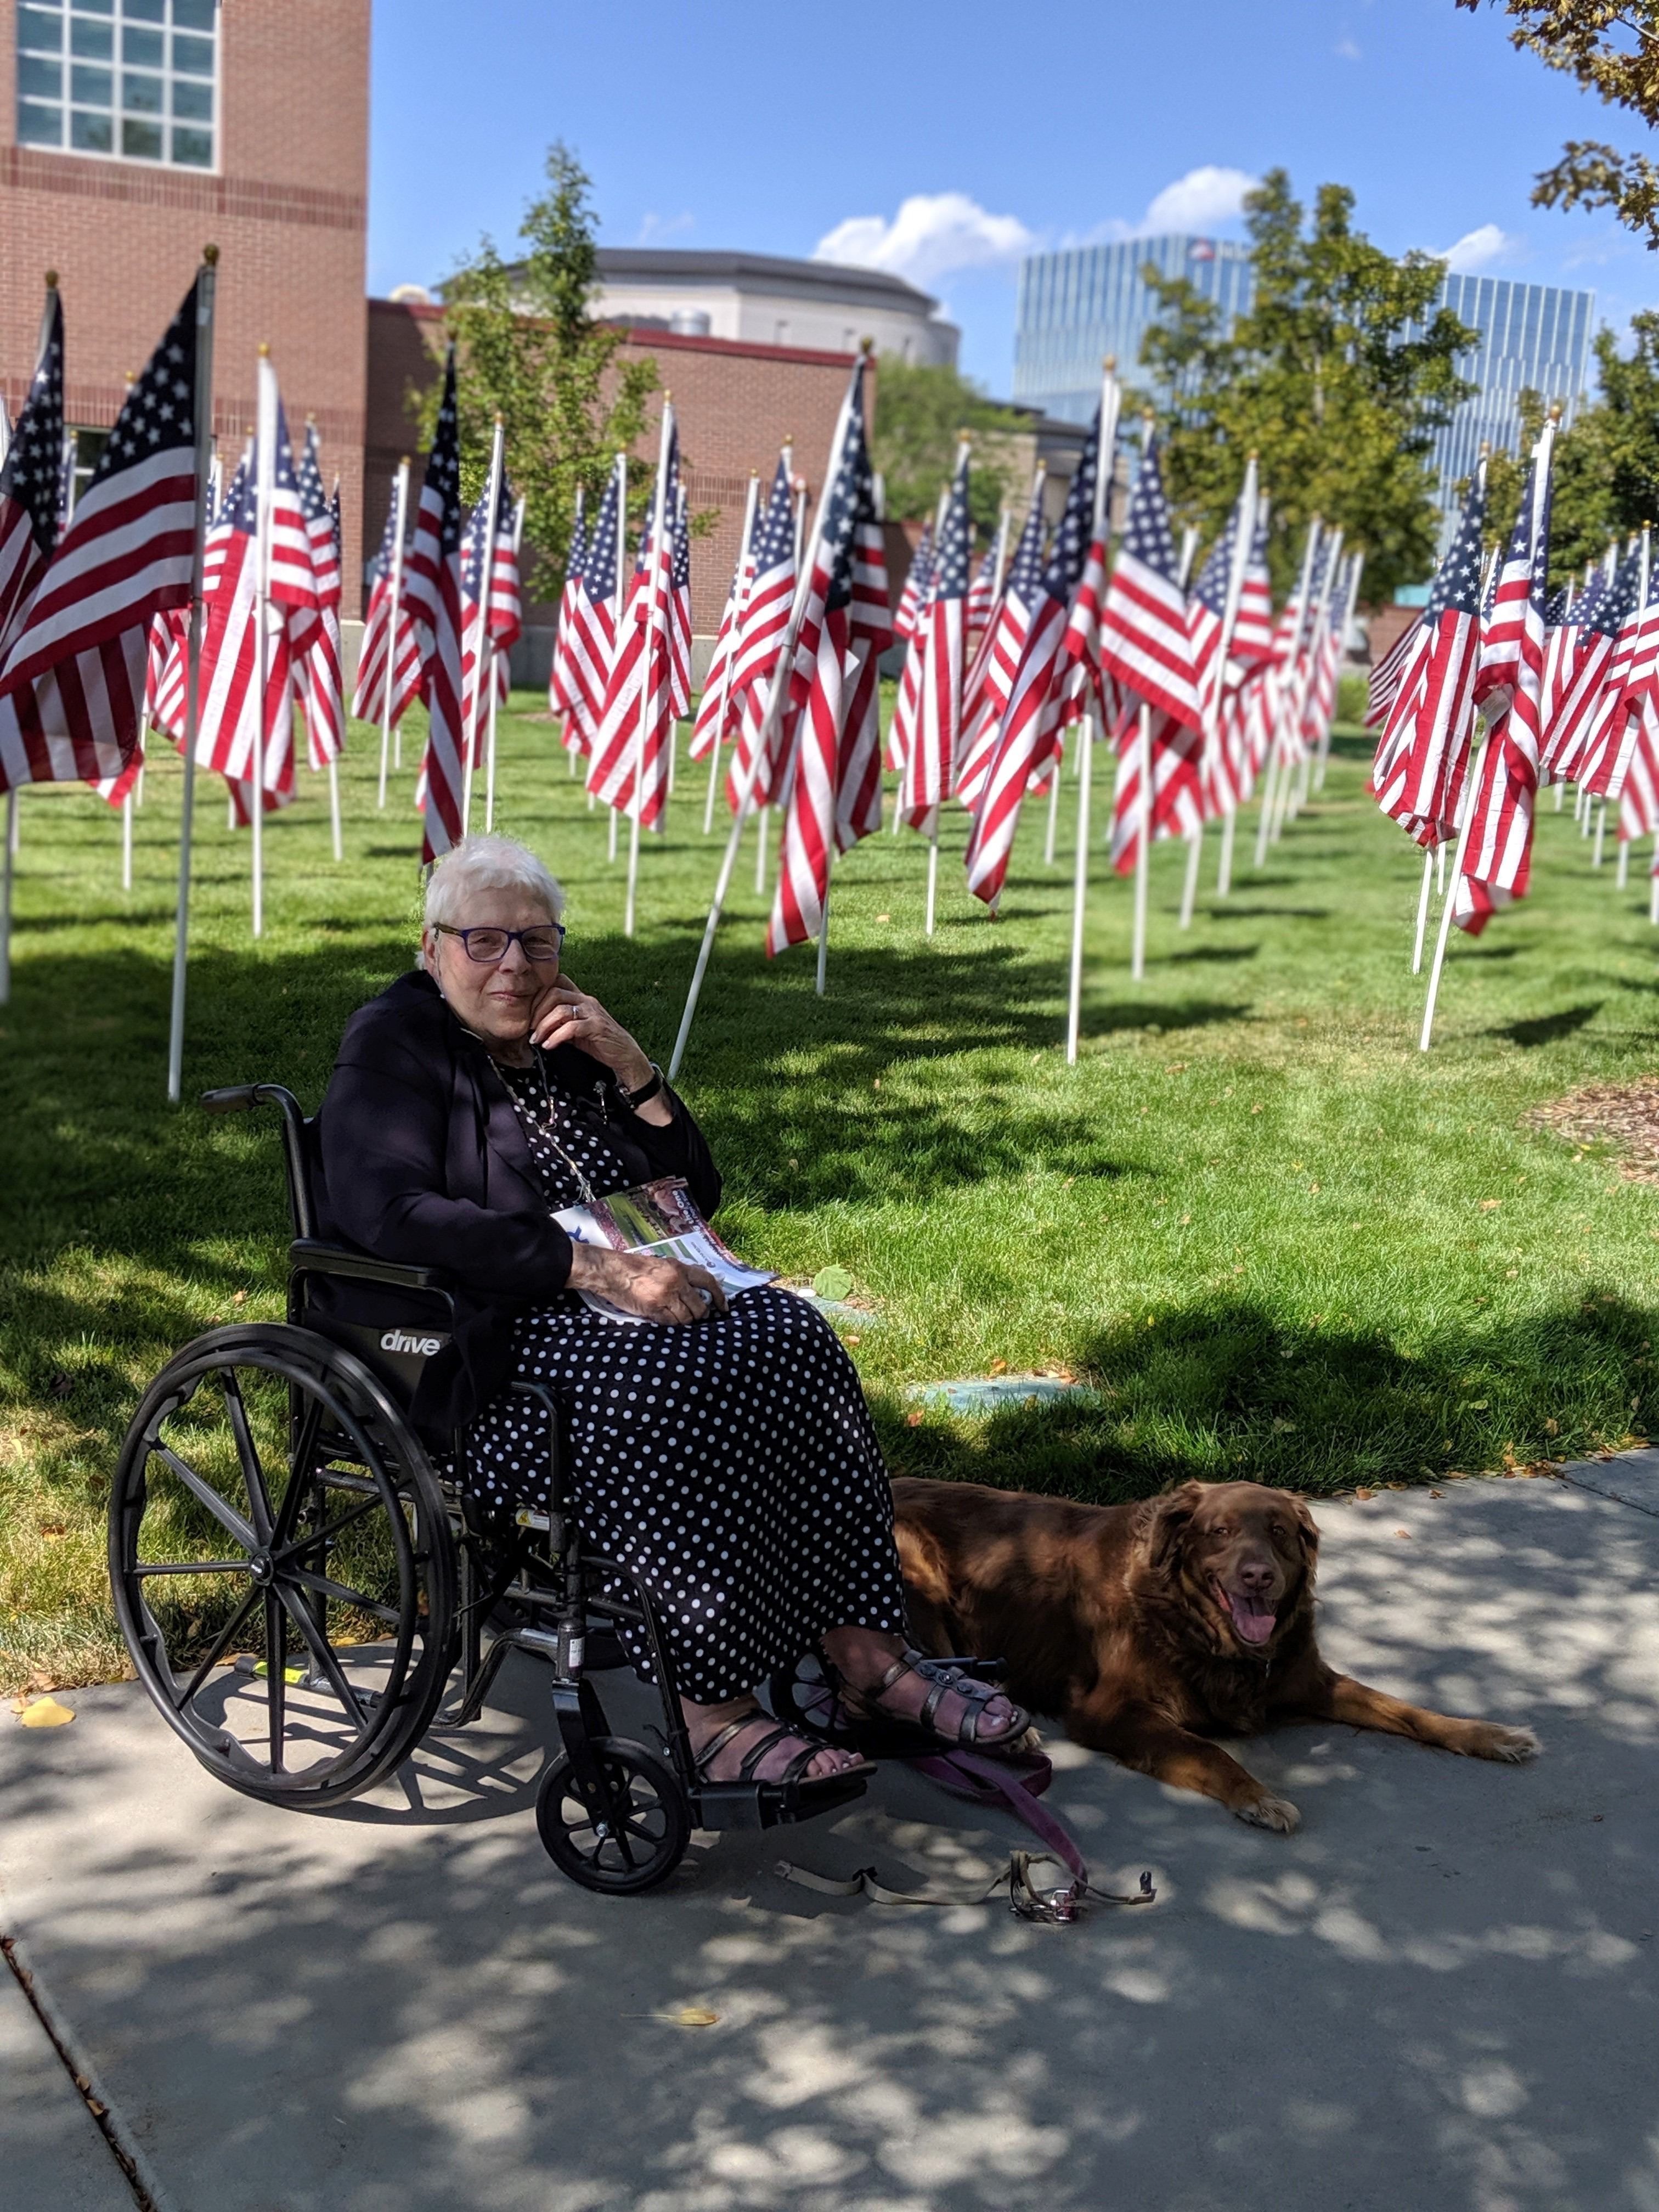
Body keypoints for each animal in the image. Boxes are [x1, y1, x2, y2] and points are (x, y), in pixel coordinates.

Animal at [898, 1477, 1548, 1822]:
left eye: (1280, 1532)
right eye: (1221, 1532)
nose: (1259, 1576)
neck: (1198, 1629)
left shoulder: (1306, 1677)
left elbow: (1407, 1709)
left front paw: (1489, 1734)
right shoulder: (1109, 1708)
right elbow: (1206, 1751)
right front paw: (1259, 1796)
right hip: (915, 1575)